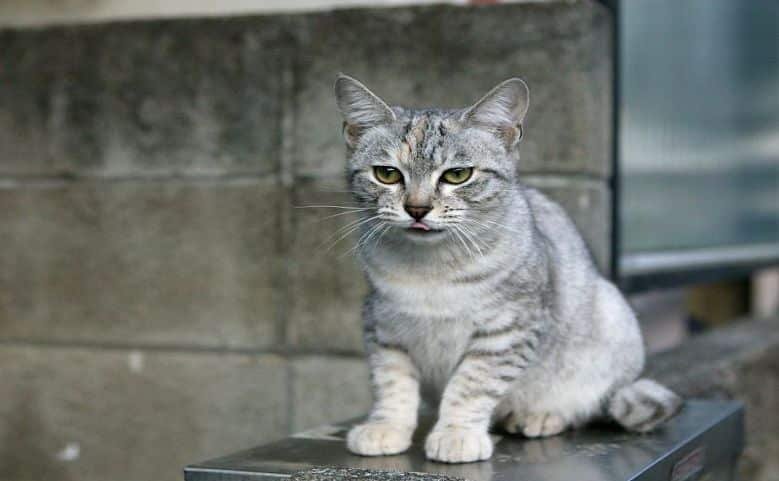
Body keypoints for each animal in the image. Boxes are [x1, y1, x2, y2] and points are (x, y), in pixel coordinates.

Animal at [336, 74, 684, 462]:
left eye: (457, 175)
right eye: (386, 174)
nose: (417, 209)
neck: (432, 269)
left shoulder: (506, 330)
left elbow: (471, 385)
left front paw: (457, 433)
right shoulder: (383, 327)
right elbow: (392, 382)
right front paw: (386, 427)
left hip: (611, 324)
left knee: (588, 404)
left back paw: (540, 416)